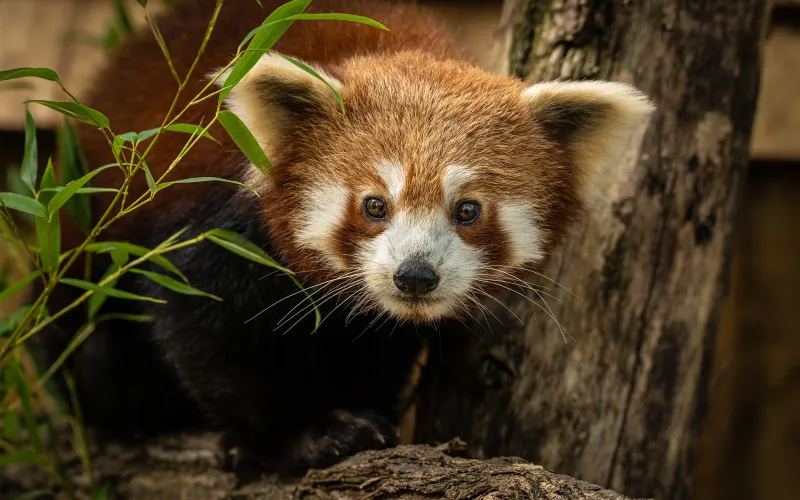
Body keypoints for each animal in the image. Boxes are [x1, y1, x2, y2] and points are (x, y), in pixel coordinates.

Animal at [39, 0, 648, 474]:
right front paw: (302, 435)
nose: (415, 276)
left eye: (467, 210)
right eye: (375, 205)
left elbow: (381, 345)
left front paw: (364, 413)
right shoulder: (213, 221)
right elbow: (206, 329)